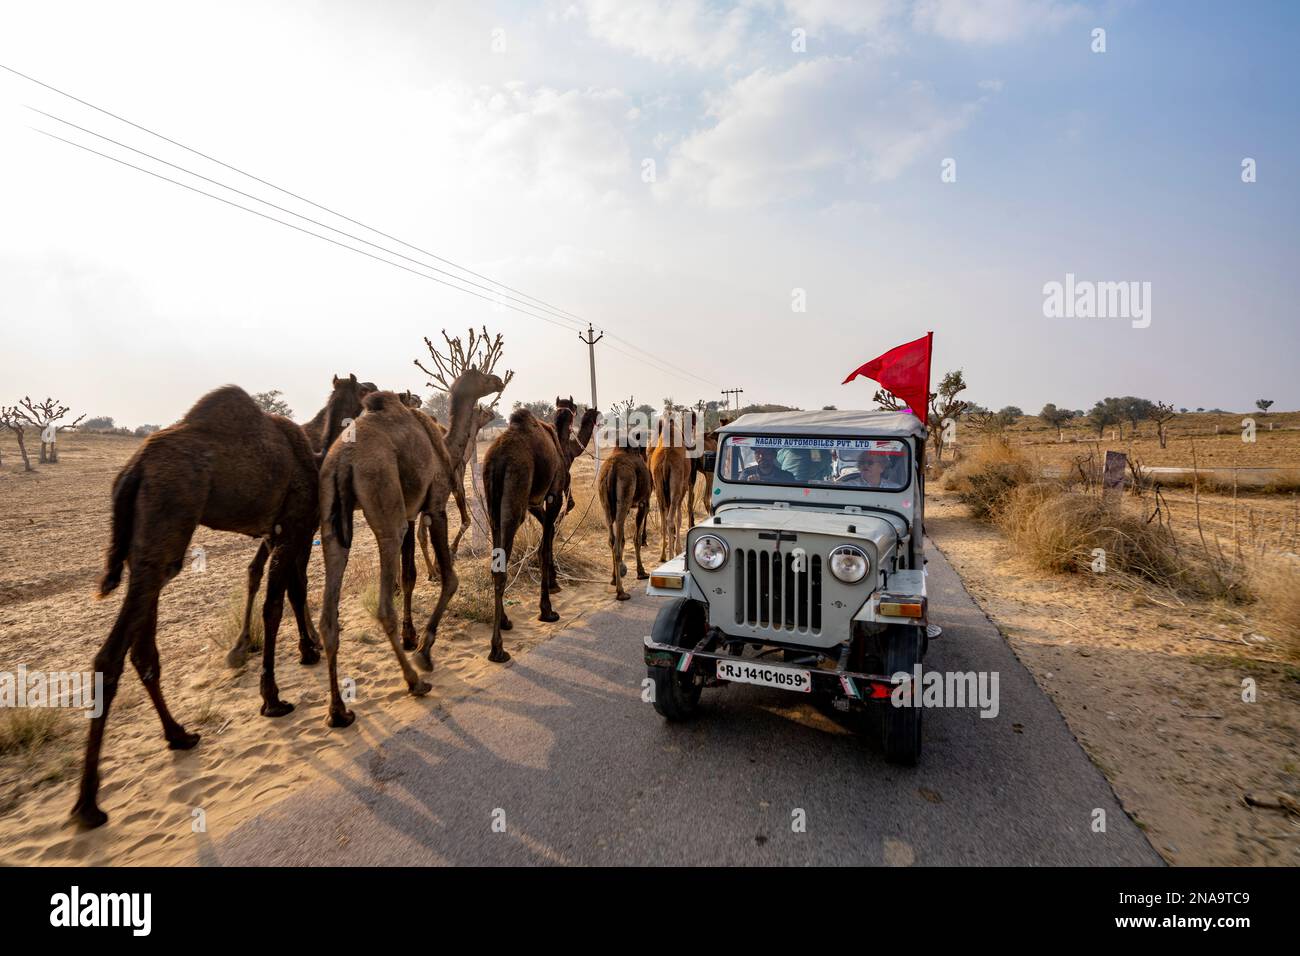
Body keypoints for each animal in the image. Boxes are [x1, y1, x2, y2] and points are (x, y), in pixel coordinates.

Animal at [74, 377, 364, 827]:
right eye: (369, 390)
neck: (314, 450)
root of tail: (132, 470)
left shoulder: (282, 529)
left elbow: (286, 589)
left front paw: (301, 654)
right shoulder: (295, 524)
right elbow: (276, 605)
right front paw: (274, 697)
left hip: (152, 547)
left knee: (142, 648)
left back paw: (178, 735)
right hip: (168, 520)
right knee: (111, 656)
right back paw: (89, 803)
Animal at [314, 366, 501, 723]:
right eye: (482, 376)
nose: (499, 380)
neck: (446, 446)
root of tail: (344, 459)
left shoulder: (415, 510)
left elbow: (412, 574)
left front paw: (415, 636)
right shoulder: (436, 503)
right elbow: (450, 579)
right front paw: (424, 651)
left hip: (331, 522)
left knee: (329, 616)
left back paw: (338, 710)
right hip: (385, 502)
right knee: (384, 603)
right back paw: (414, 681)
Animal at [480, 400, 595, 660]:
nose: (594, 413)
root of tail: (497, 459)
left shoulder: (534, 502)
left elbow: (548, 532)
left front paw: (554, 583)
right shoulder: (553, 494)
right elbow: (544, 544)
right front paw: (547, 610)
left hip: (493, 504)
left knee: (496, 560)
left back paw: (505, 622)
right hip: (515, 493)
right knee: (502, 565)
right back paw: (497, 649)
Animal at [603, 418, 655, 598]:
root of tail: (612, 469)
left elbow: (624, 539)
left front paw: (615, 576)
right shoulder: (643, 503)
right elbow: (636, 539)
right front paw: (641, 572)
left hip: (607, 505)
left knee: (612, 540)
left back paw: (616, 582)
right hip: (625, 496)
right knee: (617, 544)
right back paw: (621, 592)